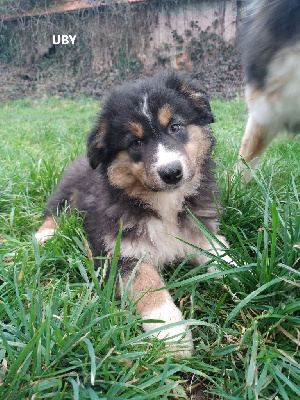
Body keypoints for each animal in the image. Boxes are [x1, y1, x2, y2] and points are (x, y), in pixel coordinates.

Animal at [36, 71, 231, 356]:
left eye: (175, 127)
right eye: (135, 142)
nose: (171, 173)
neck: (163, 203)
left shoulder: (199, 227)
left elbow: (218, 251)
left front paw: (246, 271)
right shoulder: (118, 251)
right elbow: (146, 283)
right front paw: (171, 333)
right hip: (66, 192)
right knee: (54, 211)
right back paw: (45, 236)